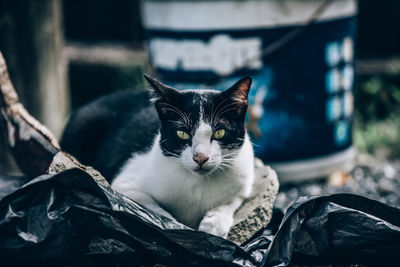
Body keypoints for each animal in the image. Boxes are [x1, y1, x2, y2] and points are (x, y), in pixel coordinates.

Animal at [61, 75, 255, 239]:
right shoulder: (125, 183)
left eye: (219, 132)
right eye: (182, 134)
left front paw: (214, 225)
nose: (200, 157)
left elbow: (232, 200)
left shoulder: (244, 181)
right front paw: (176, 228)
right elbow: (153, 209)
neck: (199, 184)